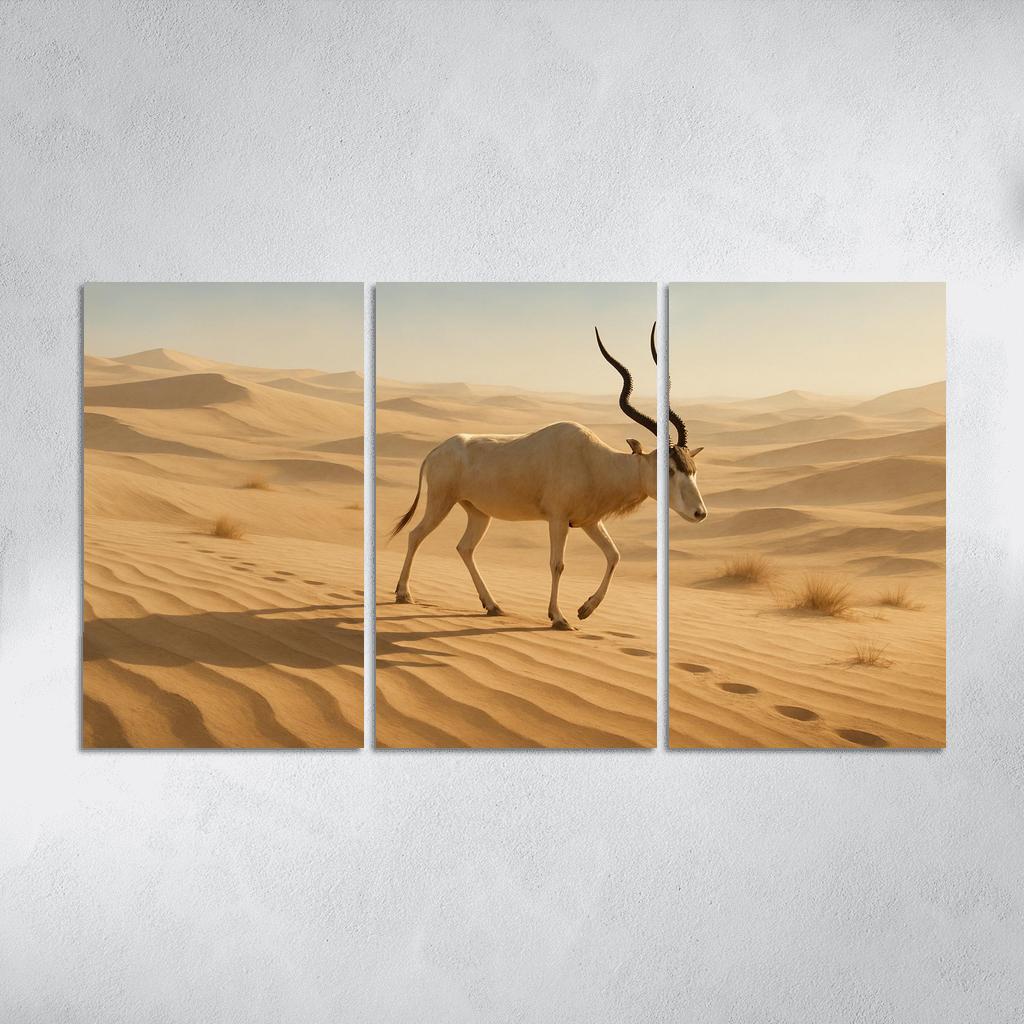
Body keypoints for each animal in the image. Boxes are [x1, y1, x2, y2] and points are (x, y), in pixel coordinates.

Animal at [389, 325, 706, 629]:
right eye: (668, 469)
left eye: (692, 468)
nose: (699, 513)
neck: (596, 461)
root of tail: (436, 450)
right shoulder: (558, 519)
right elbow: (558, 564)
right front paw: (559, 617)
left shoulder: (588, 521)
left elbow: (614, 555)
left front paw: (585, 610)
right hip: (441, 502)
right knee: (416, 535)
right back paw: (403, 593)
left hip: (478, 513)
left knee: (465, 548)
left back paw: (493, 605)